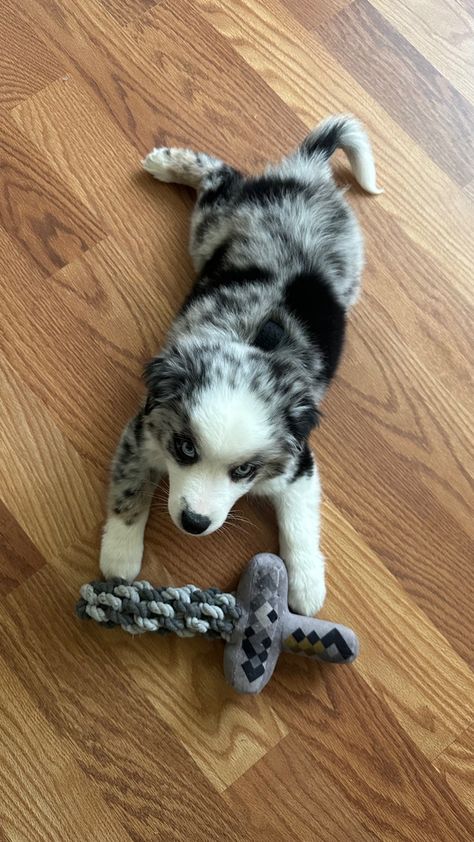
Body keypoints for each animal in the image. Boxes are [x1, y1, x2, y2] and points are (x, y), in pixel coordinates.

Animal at [100, 113, 382, 612]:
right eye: (185, 449)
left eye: (244, 472)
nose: (194, 523)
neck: (255, 346)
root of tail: (307, 175)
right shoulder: (143, 431)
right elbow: (129, 489)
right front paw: (120, 555)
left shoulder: (299, 465)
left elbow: (300, 524)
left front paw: (307, 585)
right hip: (210, 229)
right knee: (222, 176)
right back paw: (168, 162)